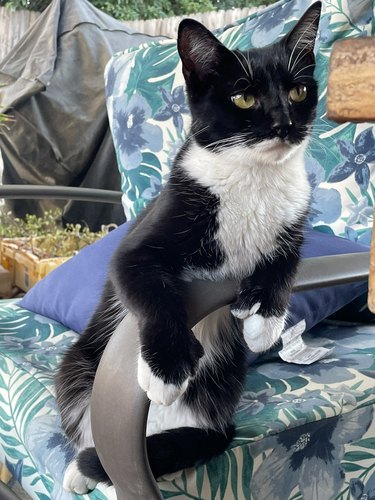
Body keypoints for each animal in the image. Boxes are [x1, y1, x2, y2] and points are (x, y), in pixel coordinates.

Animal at [57, 1, 322, 494]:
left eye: (298, 91)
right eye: (244, 98)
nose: (284, 124)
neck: (254, 179)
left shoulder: (296, 219)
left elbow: (285, 263)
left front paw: (263, 321)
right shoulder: (141, 242)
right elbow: (152, 288)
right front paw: (166, 369)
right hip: (78, 365)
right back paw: (83, 471)